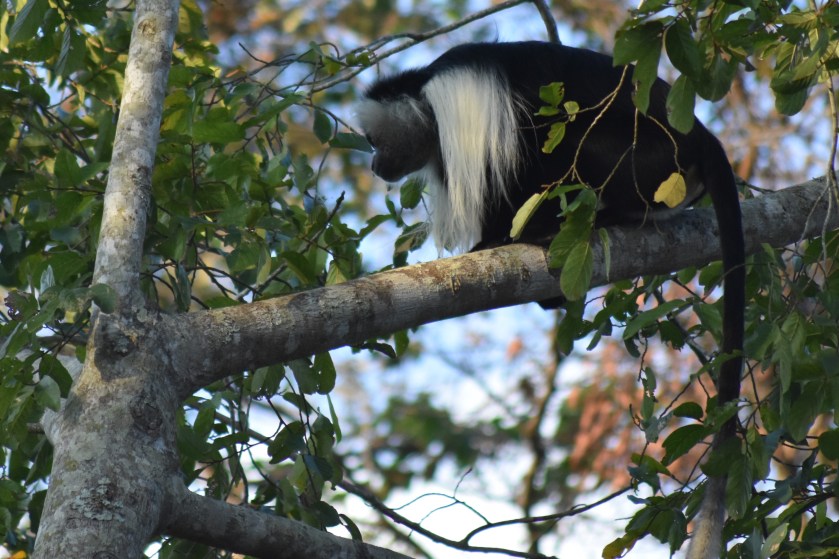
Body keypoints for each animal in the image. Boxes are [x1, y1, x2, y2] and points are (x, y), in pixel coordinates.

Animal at [357, 41, 744, 559]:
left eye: (374, 139)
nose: (375, 165)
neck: (423, 92)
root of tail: (700, 136)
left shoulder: (464, 109)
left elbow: (510, 166)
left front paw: (494, 240)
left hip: (650, 162)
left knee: (564, 144)